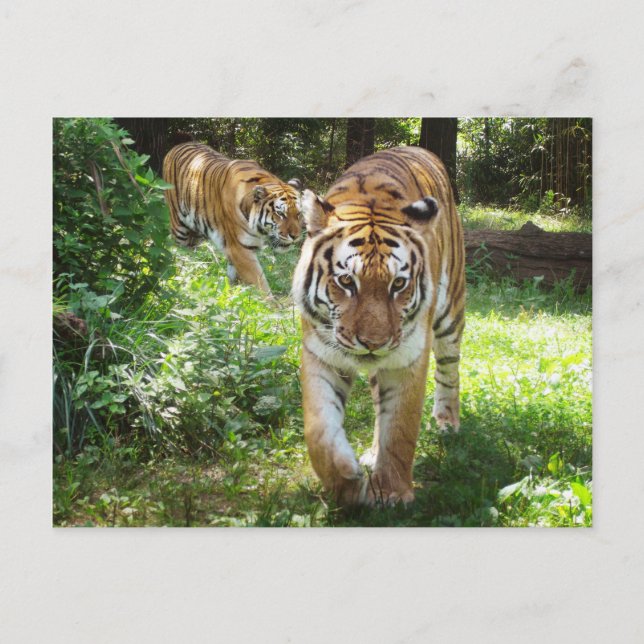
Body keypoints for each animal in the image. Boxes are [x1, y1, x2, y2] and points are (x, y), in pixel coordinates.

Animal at [162, 142, 304, 296]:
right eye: (280, 214)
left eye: (298, 214)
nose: (295, 236)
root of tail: (177, 146)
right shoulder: (240, 249)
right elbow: (261, 284)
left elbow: (234, 277)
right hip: (179, 228)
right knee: (178, 254)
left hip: (196, 233)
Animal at [292, 146, 465, 507]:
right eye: (346, 281)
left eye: (398, 284)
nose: (374, 342)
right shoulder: (319, 353)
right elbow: (318, 427)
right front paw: (345, 478)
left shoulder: (408, 356)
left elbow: (400, 426)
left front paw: (392, 492)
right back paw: (371, 454)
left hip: (450, 312)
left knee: (449, 369)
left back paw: (447, 422)